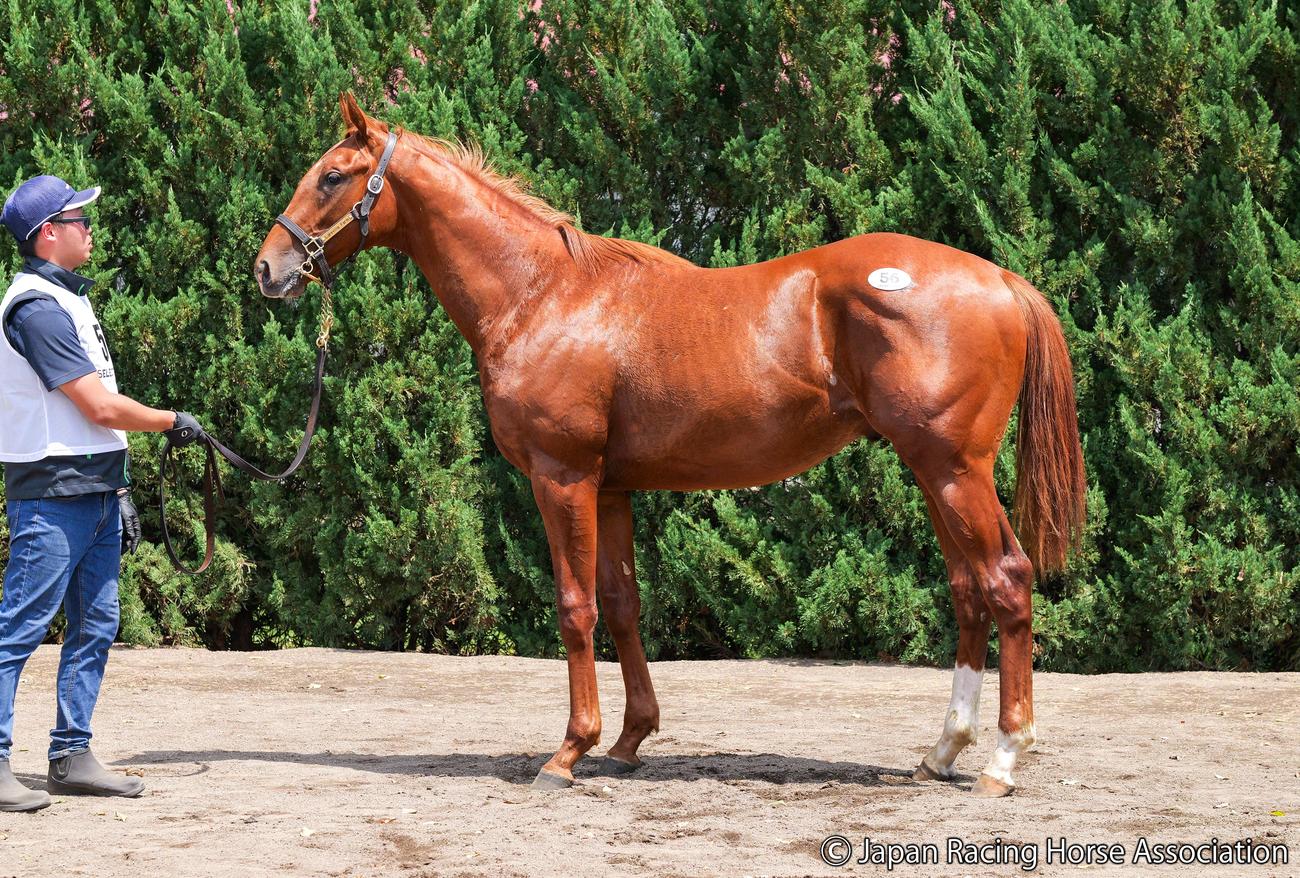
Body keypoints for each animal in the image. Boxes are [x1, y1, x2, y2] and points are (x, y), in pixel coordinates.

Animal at [255, 93, 1086, 797]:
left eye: (332, 176)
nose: (268, 268)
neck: (541, 295)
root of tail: (1001, 279)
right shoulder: (613, 488)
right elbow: (624, 605)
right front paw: (628, 741)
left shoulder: (562, 479)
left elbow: (576, 608)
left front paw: (568, 752)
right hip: (935, 472)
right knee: (969, 591)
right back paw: (942, 753)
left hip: (952, 470)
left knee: (1007, 580)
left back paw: (1003, 761)